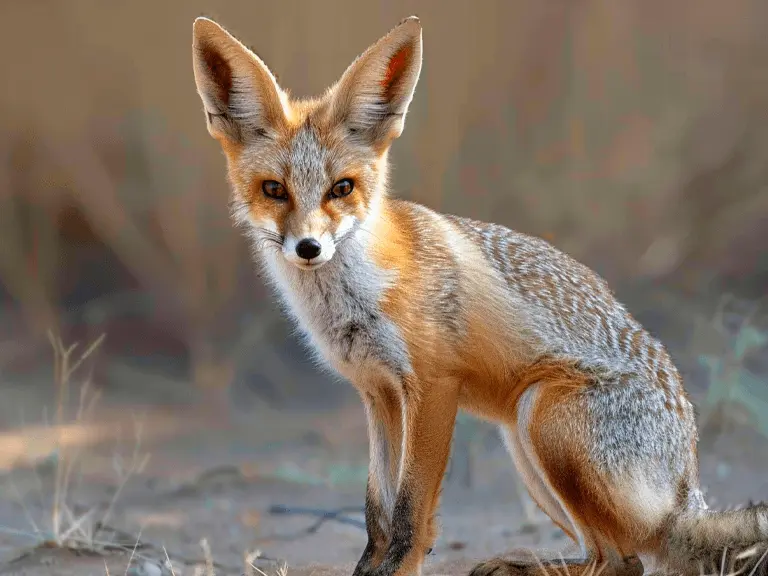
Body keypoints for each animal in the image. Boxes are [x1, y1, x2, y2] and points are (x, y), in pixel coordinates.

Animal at [190, 14, 768, 576]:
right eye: (274, 190)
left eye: (342, 188)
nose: (308, 248)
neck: (357, 298)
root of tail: (687, 490)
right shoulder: (378, 394)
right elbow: (377, 512)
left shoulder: (432, 388)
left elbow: (409, 514)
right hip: (523, 444)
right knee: (611, 557)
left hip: (541, 416)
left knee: (623, 562)